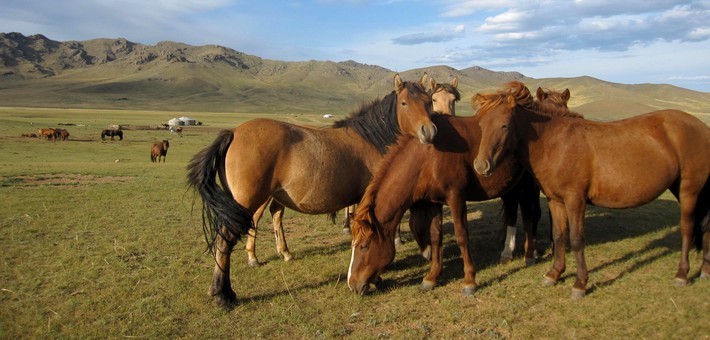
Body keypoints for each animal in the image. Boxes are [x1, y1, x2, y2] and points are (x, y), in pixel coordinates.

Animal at [186, 74, 436, 308]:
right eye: (404, 103)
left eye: (429, 101)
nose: (429, 131)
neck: (371, 140)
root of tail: (234, 133)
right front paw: (374, 277)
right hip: (246, 203)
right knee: (225, 241)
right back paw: (223, 294)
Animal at [348, 82, 548, 294]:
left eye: (364, 246)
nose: (352, 284)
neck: (427, 157)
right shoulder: (434, 202)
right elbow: (436, 236)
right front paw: (432, 276)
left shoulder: (456, 197)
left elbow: (461, 235)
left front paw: (469, 280)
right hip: (510, 186)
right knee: (512, 210)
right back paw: (507, 253)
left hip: (527, 184)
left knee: (528, 214)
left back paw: (530, 254)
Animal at [472, 81, 710, 298]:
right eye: (481, 125)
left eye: (504, 125)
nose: (481, 165)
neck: (554, 141)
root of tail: (701, 127)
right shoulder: (555, 200)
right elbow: (559, 235)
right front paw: (554, 274)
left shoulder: (575, 199)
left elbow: (577, 239)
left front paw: (580, 284)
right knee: (705, 226)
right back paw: (704, 271)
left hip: (689, 192)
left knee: (688, 228)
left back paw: (682, 274)